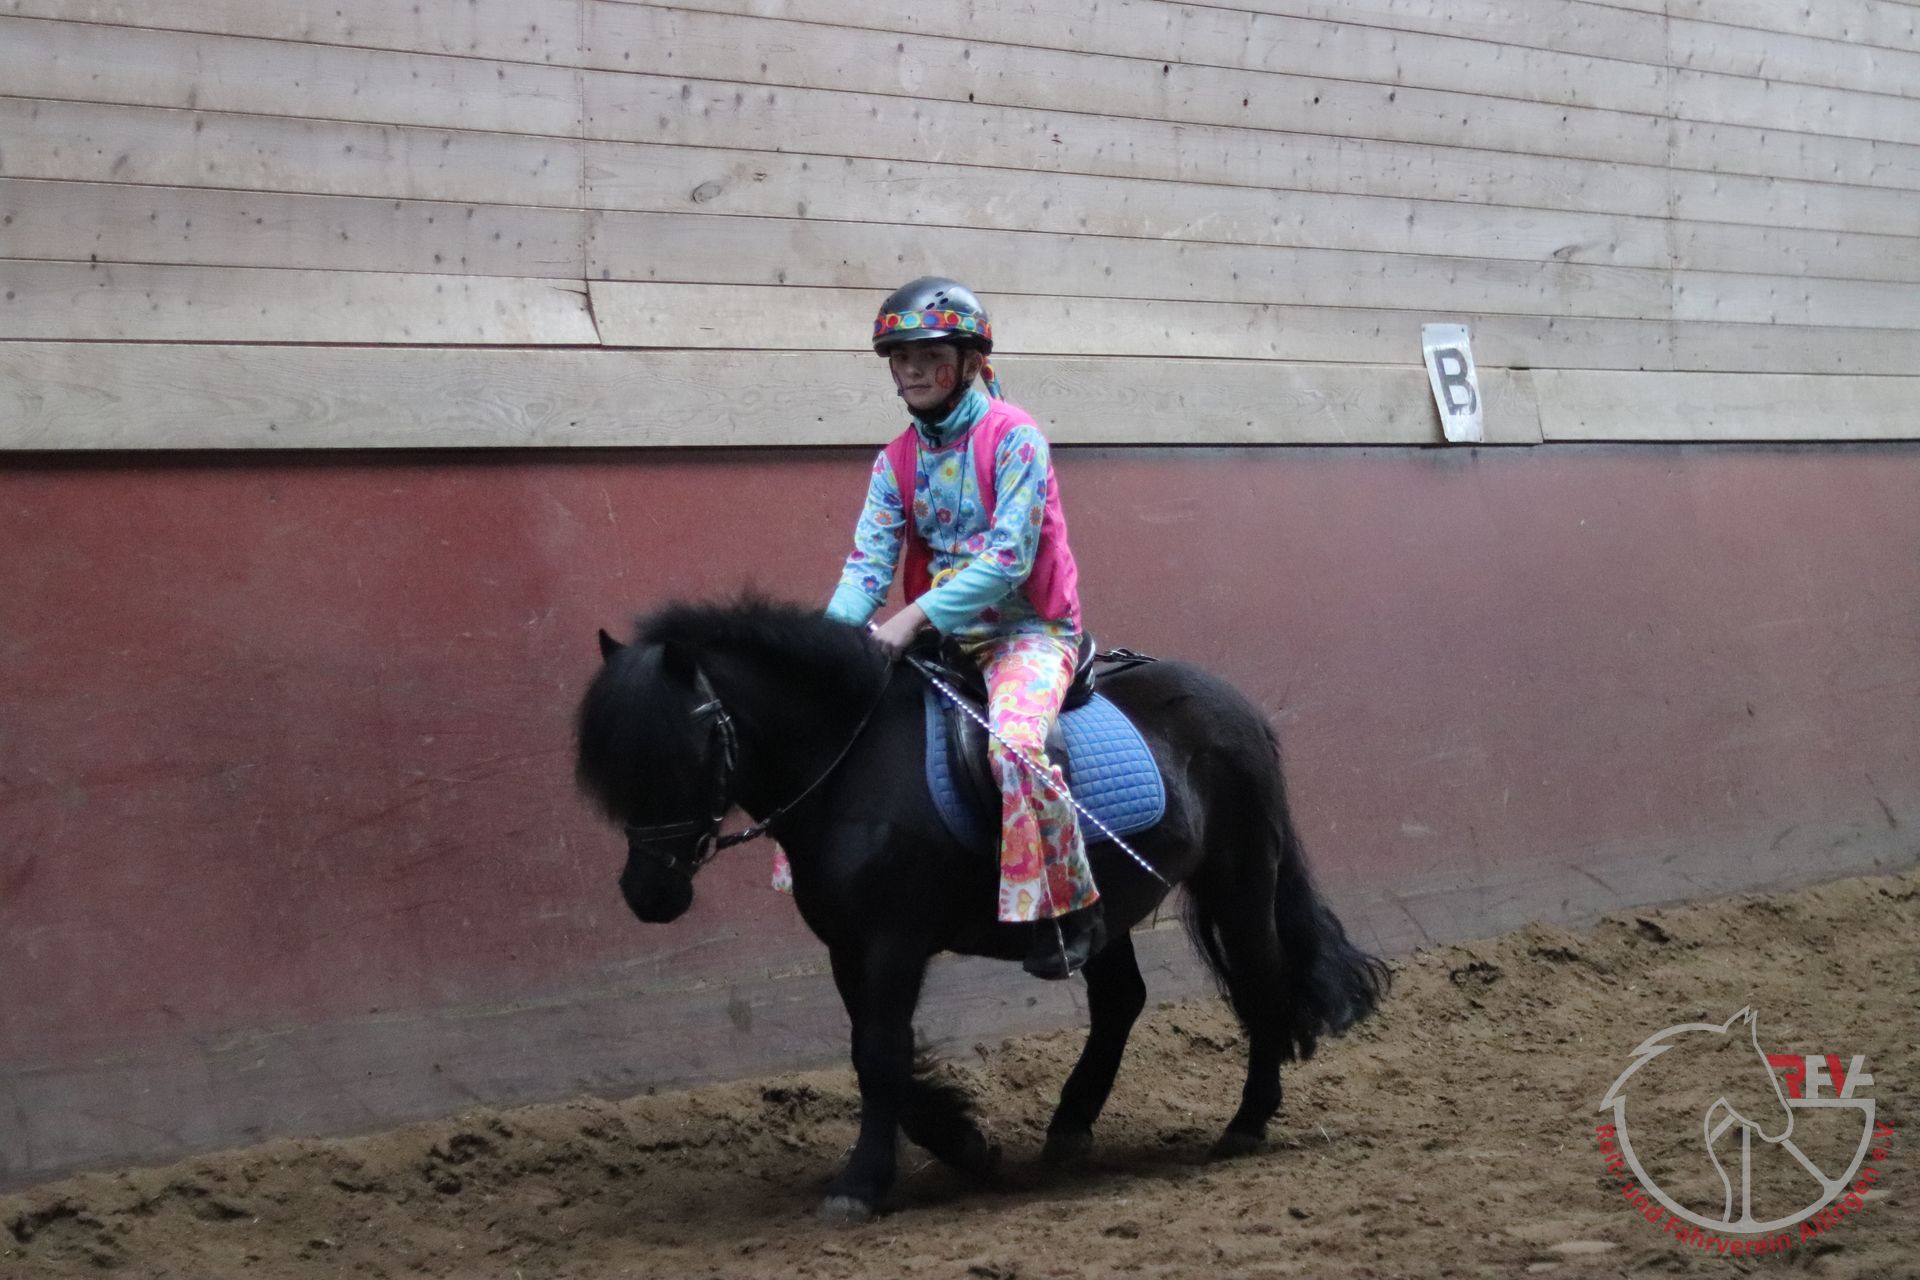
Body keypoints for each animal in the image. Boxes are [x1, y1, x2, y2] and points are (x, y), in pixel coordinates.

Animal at [575, 597, 1388, 1222]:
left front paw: (860, 1185)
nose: (648, 895)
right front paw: (962, 1143)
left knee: (1261, 980)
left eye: (688, 751)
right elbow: (873, 1049)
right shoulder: (847, 943)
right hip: (1102, 900)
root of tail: (1238, 704)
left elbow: (880, 1051)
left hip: (1239, 878)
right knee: (1121, 999)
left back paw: (1245, 1124)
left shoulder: (892, 938)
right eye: (612, 766)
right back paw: (1070, 1126)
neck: (849, 763)